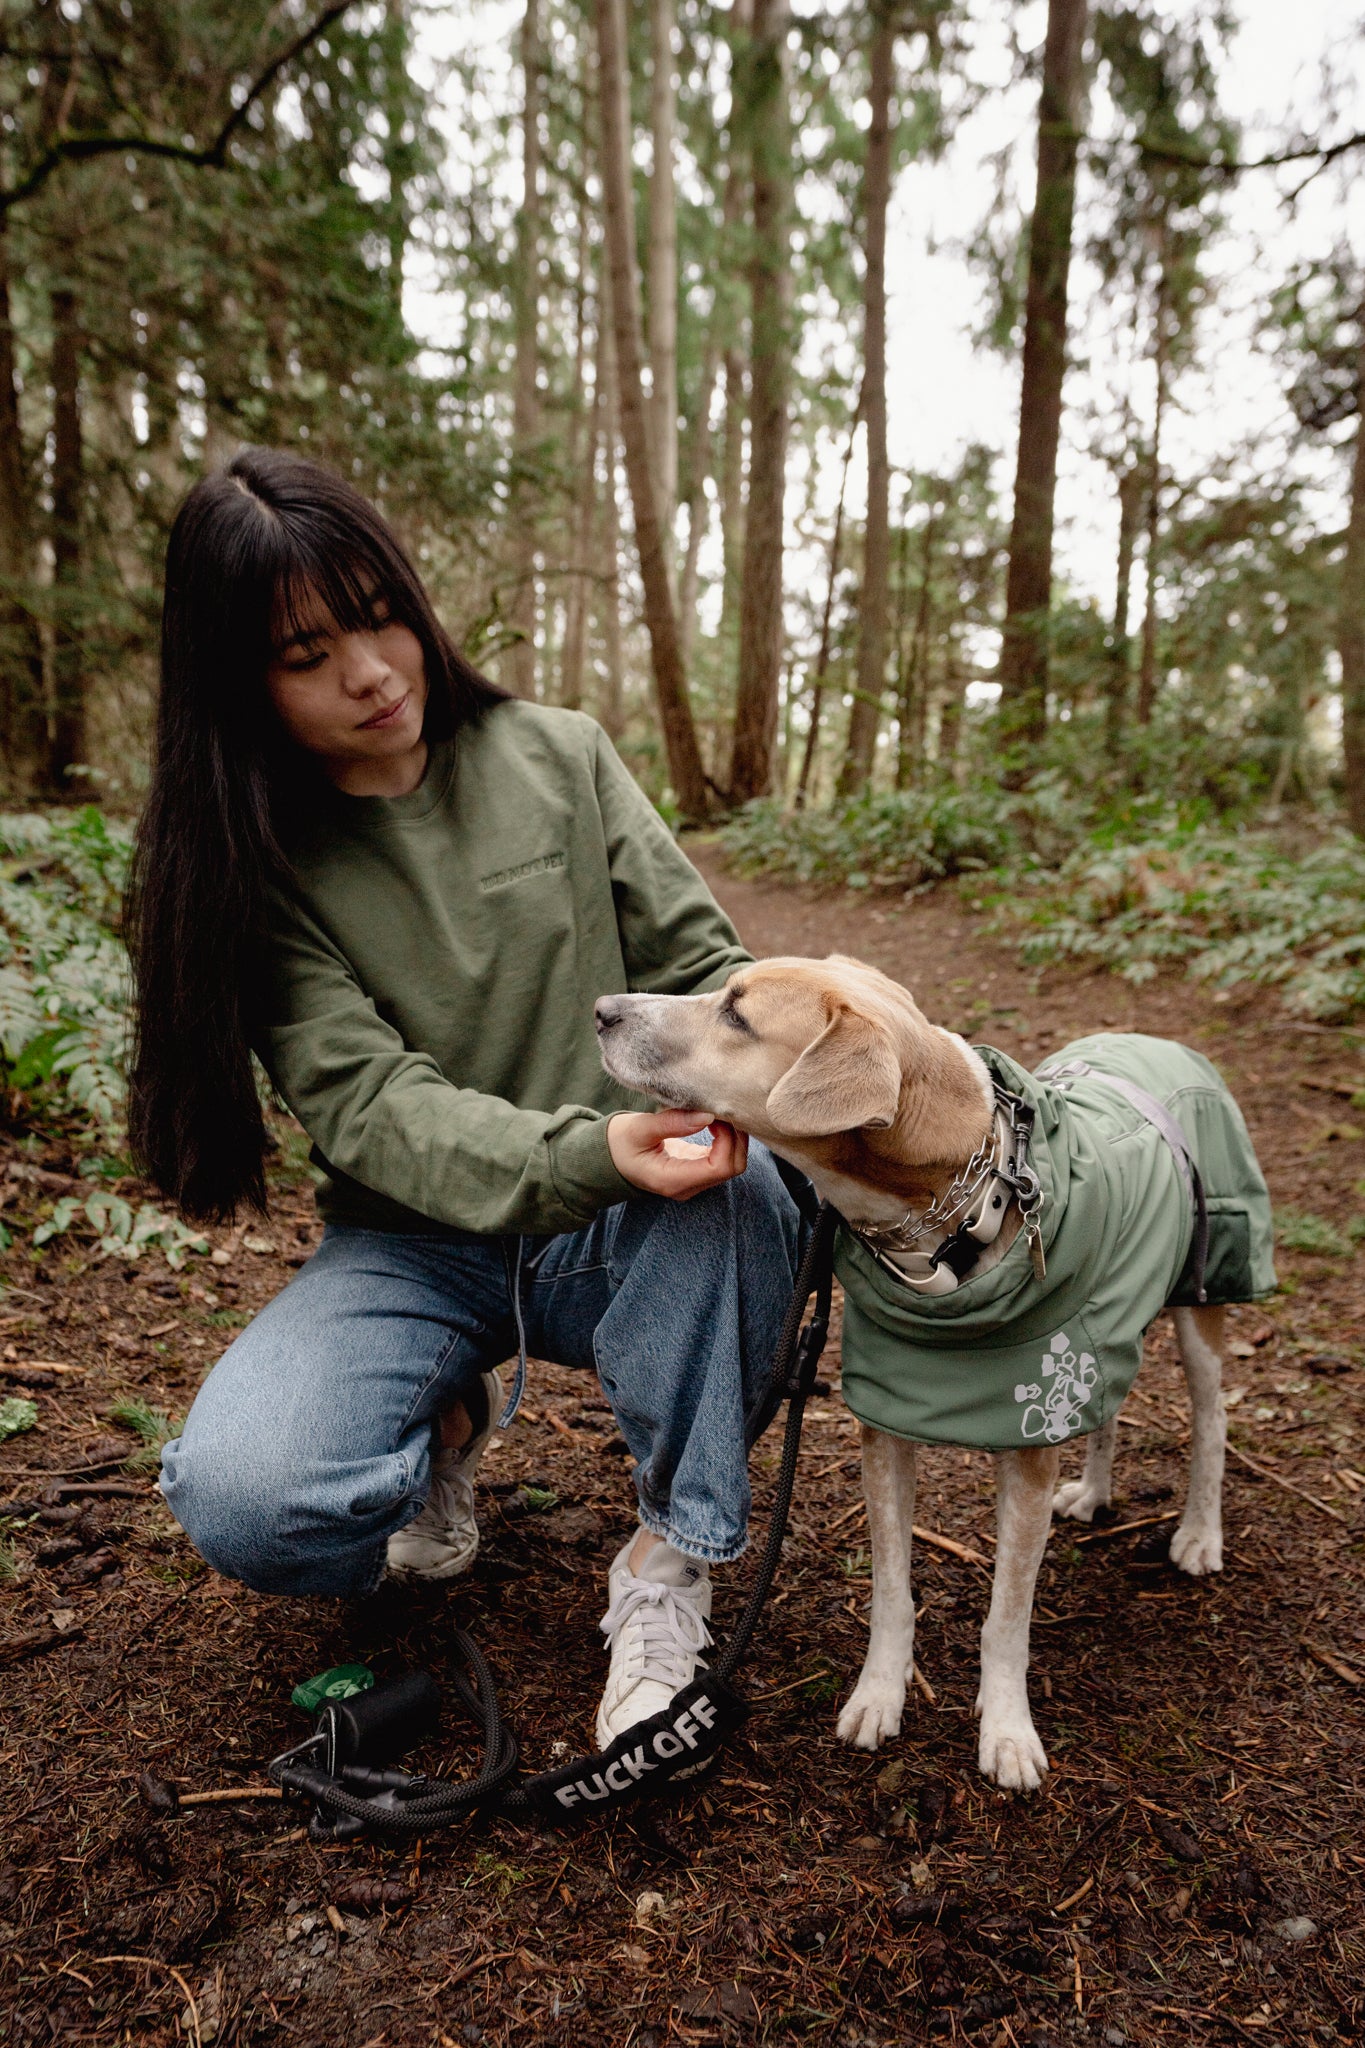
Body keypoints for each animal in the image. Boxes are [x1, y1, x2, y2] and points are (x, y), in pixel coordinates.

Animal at [593, 958, 1277, 1794]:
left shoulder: (1028, 1451)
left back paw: (1198, 1534)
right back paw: (1093, 1491)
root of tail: (1153, 1037)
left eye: (737, 1016)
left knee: (1211, 1420)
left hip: (1203, 1291)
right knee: (1106, 1404)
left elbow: (1006, 1617)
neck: (952, 1214)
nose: (602, 1009)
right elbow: (891, 1591)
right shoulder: (885, 1436)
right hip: (1106, 1316)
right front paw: (879, 1695)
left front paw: (1007, 1730)